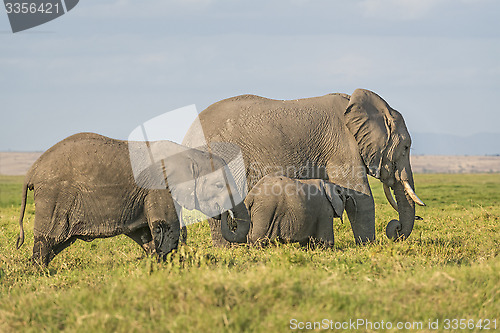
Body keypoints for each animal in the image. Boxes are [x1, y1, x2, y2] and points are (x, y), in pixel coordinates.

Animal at [15, 132, 242, 264]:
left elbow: (147, 233)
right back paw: (40, 271)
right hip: (54, 196)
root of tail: (32, 170)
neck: (189, 154)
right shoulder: (159, 187)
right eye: (219, 185)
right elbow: (167, 225)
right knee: (49, 238)